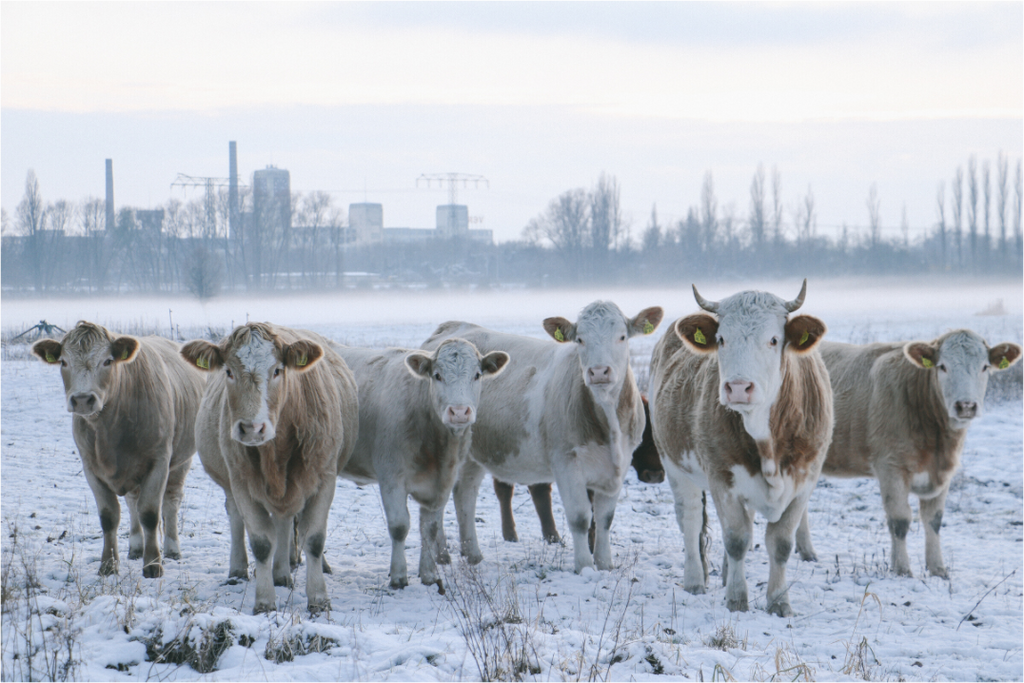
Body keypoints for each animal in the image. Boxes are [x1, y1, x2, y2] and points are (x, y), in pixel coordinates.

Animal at [32, 322, 204, 578]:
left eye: (107, 361)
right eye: (63, 361)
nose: (82, 399)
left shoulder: (159, 461)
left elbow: (150, 513)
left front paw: (153, 564)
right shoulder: (90, 467)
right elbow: (109, 516)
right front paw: (108, 564)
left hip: (181, 461)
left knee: (172, 500)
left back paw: (172, 549)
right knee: (133, 502)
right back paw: (136, 547)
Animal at [181, 323, 358, 614]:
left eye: (277, 370)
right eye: (229, 371)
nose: (252, 428)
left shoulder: (324, 477)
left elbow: (314, 539)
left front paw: (319, 598)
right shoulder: (241, 481)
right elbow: (262, 542)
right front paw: (264, 601)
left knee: (285, 522)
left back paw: (282, 573)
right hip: (231, 483)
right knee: (236, 516)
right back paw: (239, 570)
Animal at [334, 339, 509, 592]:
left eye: (477, 375)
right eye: (437, 375)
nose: (459, 412)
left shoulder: (443, 481)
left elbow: (430, 528)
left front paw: (429, 574)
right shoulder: (391, 477)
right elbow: (399, 526)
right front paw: (398, 576)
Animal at [648, 280, 832, 616]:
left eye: (774, 339)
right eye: (721, 339)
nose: (737, 387)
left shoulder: (805, 481)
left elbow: (780, 544)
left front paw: (779, 602)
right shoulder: (722, 477)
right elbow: (736, 538)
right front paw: (736, 599)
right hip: (674, 464)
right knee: (690, 520)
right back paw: (695, 580)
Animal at [795, 330, 1022, 578]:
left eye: (985, 367)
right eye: (942, 366)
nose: (966, 406)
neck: (938, 443)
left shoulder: (943, 473)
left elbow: (934, 520)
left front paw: (938, 569)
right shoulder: (890, 466)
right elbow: (900, 519)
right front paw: (902, 568)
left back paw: (806, 552)